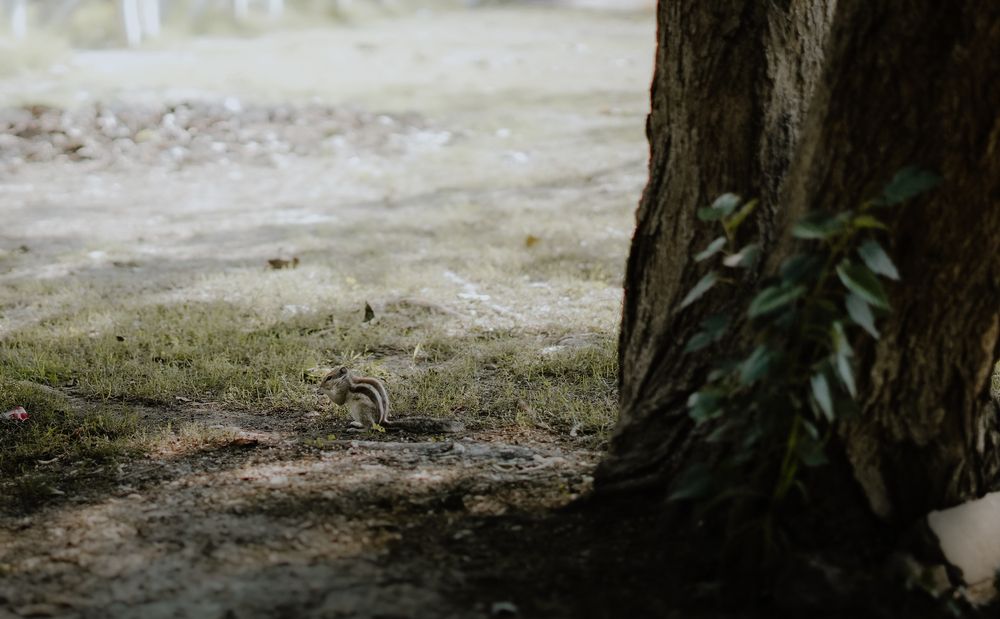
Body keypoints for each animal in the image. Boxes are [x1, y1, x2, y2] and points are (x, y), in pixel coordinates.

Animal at [316, 366, 464, 433]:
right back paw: (357, 424)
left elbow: (339, 400)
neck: (346, 380)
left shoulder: (343, 390)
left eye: (329, 378)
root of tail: (382, 421)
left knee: (370, 427)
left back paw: (357, 430)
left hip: (361, 409)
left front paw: (321, 390)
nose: (321, 384)